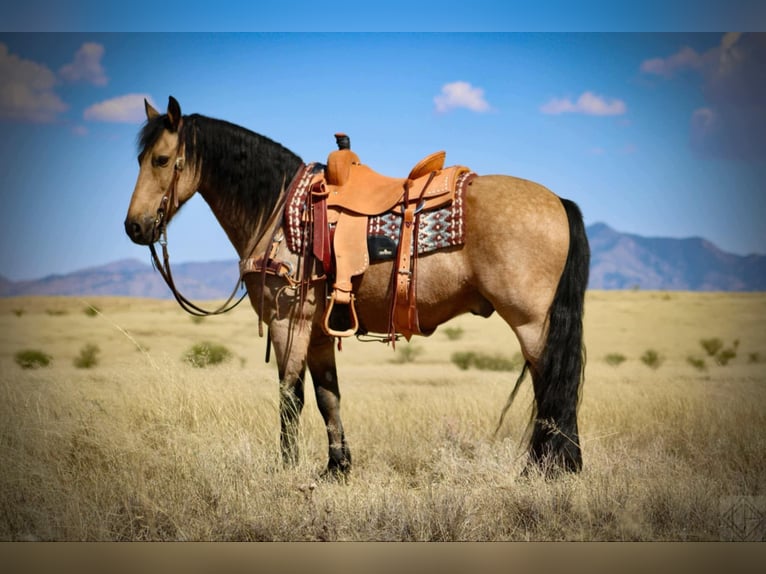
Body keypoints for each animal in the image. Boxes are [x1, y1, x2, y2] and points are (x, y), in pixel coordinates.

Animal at [126, 97, 592, 480]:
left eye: (162, 159)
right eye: (140, 158)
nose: (134, 226)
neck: (278, 212)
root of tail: (559, 201)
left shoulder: (286, 321)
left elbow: (290, 396)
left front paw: (286, 468)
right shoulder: (317, 331)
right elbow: (327, 396)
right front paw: (337, 468)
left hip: (530, 323)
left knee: (551, 385)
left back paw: (549, 468)